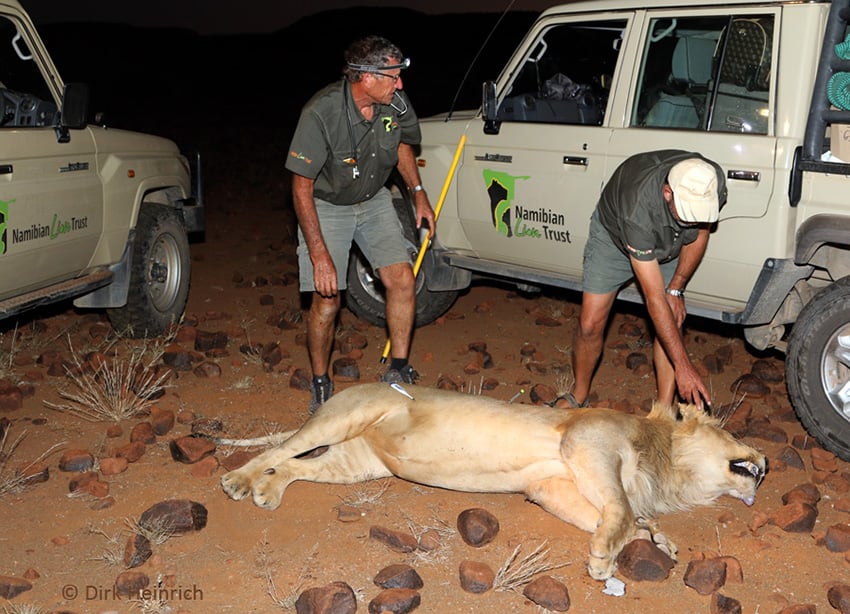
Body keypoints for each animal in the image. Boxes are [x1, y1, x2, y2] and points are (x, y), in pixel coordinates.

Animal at [219, 384, 760, 584]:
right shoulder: (587, 443)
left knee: (295, 466)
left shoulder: (552, 487)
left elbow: (621, 519)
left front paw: (659, 541)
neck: (663, 460)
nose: (767, 462)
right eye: (736, 437)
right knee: (277, 450)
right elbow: (623, 511)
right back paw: (238, 481)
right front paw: (605, 561)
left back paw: (269, 492)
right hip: (347, 414)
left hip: (359, 462)